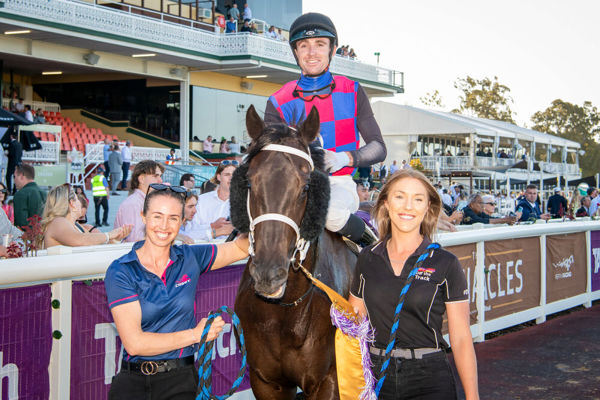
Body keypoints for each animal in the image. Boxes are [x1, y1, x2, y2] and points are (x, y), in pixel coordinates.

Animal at [231, 105, 356, 400]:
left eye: (305, 187)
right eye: (249, 183)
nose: (269, 274)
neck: (285, 311)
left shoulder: (329, 380)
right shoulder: (266, 381)